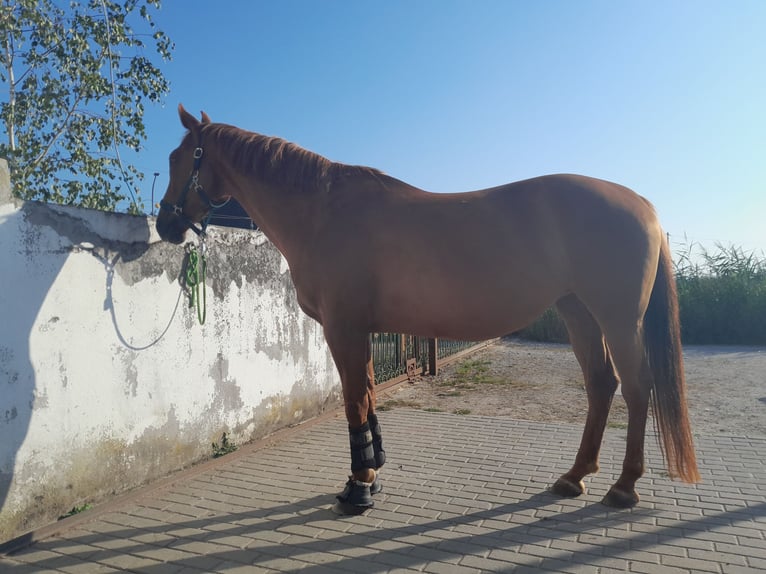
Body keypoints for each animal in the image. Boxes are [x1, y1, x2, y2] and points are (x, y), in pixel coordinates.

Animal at [156, 106, 704, 516]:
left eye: (178, 157)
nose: (164, 224)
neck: (324, 212)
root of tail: (643, 204)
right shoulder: (362, 330)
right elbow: (369, 396)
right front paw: (372, 474)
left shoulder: (344, 328)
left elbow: (354, 401)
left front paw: (358, 488)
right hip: (578, 314)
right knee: (601, 385)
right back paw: (574, 477)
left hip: (618, 319)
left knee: (636, 388)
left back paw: (624, 486)